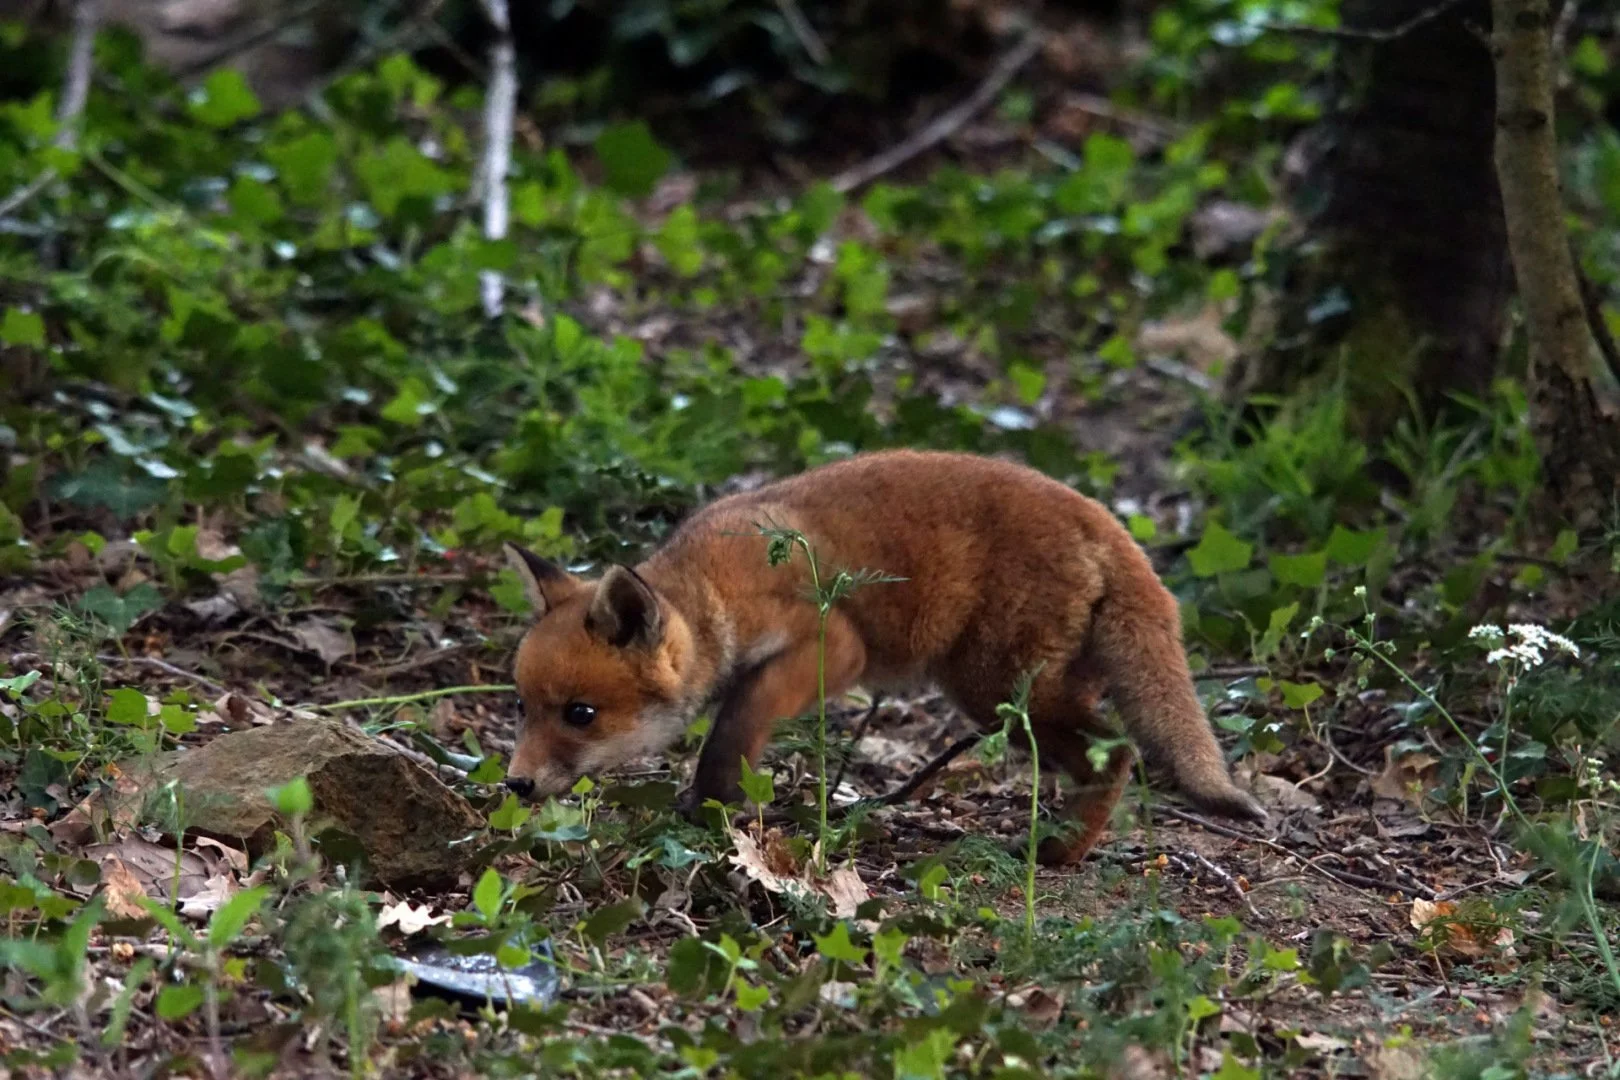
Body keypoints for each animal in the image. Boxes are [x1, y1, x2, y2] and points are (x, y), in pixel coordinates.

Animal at [499, 448, 1266, 864]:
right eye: (523, 708)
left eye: (580, 714)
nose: (516, 785)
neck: (716, 588)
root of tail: (1103, 518)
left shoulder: (832, 646)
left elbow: (737, 721)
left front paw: (714, 800)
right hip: (1024, 689)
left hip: (995, 688)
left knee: (1118, 752)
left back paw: (1052, 854)